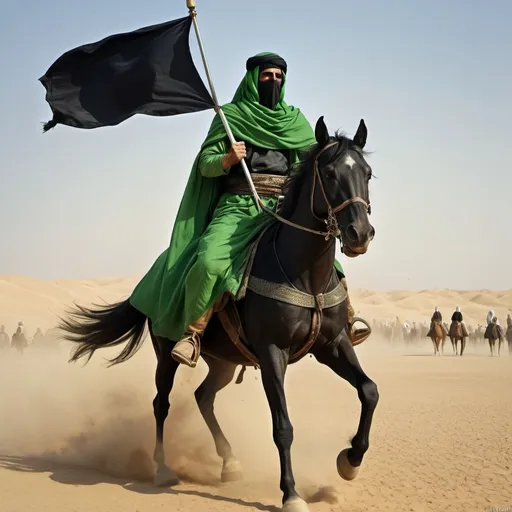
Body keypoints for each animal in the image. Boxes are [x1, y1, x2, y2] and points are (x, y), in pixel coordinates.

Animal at [61, 117, 380, 512]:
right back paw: (162, 469)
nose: (359, 234)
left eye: (367, 173)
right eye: (331, 173)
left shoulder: (332, 344)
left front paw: (350, 461)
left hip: (224, 361)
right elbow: (283, 426)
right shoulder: (272, 352)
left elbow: (369, 391)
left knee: (204, 396)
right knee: (161, 403)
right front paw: (291, 493)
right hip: (165, 353)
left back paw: (229, 462)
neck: (304, 275)